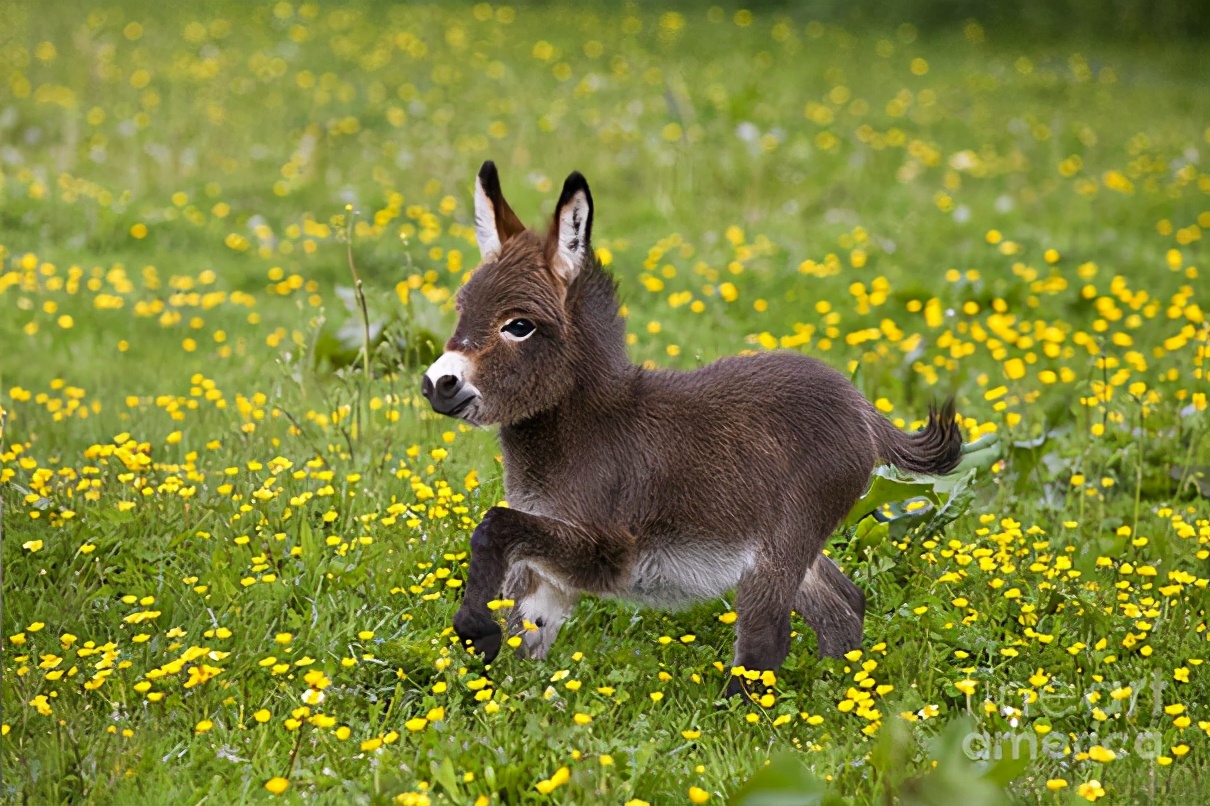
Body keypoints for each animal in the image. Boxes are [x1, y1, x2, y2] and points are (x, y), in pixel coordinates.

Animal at [421, 159, 958, 692]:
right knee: (843, 606)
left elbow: (492, 525)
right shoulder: (547, 567)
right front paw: (513, 690)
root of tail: (860, 406)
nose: (436, 384)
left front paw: (475, 631)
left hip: (779, 547)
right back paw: (842, 693)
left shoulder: (606, 553)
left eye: (519, 326)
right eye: (462, 309)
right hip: (792, 549)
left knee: (767, 642)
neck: (584, 427)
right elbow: (526, 629)